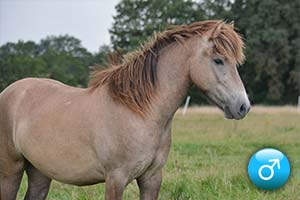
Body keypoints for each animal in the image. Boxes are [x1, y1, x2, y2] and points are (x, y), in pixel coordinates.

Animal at [0, 20, 251, 200]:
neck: (140, 113)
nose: (243, 106)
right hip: (11, 171)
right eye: (218, 60)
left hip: (39, 173)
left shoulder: (151, 178)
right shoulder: (115, 179)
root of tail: (10, 91)